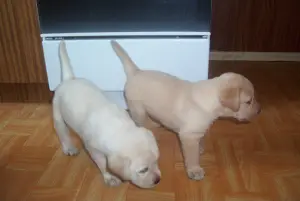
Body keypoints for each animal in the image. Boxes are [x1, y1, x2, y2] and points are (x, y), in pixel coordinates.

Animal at [52, 40, 161, 188]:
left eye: (156, 160)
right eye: (143, 170)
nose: (158, 180)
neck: (119, 129)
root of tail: (69, 79)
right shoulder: (93, 149)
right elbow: (102, 164)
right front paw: (109, 177)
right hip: (58, 114)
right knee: (62, 133)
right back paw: (69, 148)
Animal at [109, 40, 260, 181]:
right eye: (248, 101)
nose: (259, 110)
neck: (209, 100)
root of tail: (136, 72)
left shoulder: (198, 130)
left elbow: (200, 139)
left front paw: (200, 148)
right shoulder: (189, 136)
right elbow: (192, 156)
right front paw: (195, 170)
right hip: (138, 110)